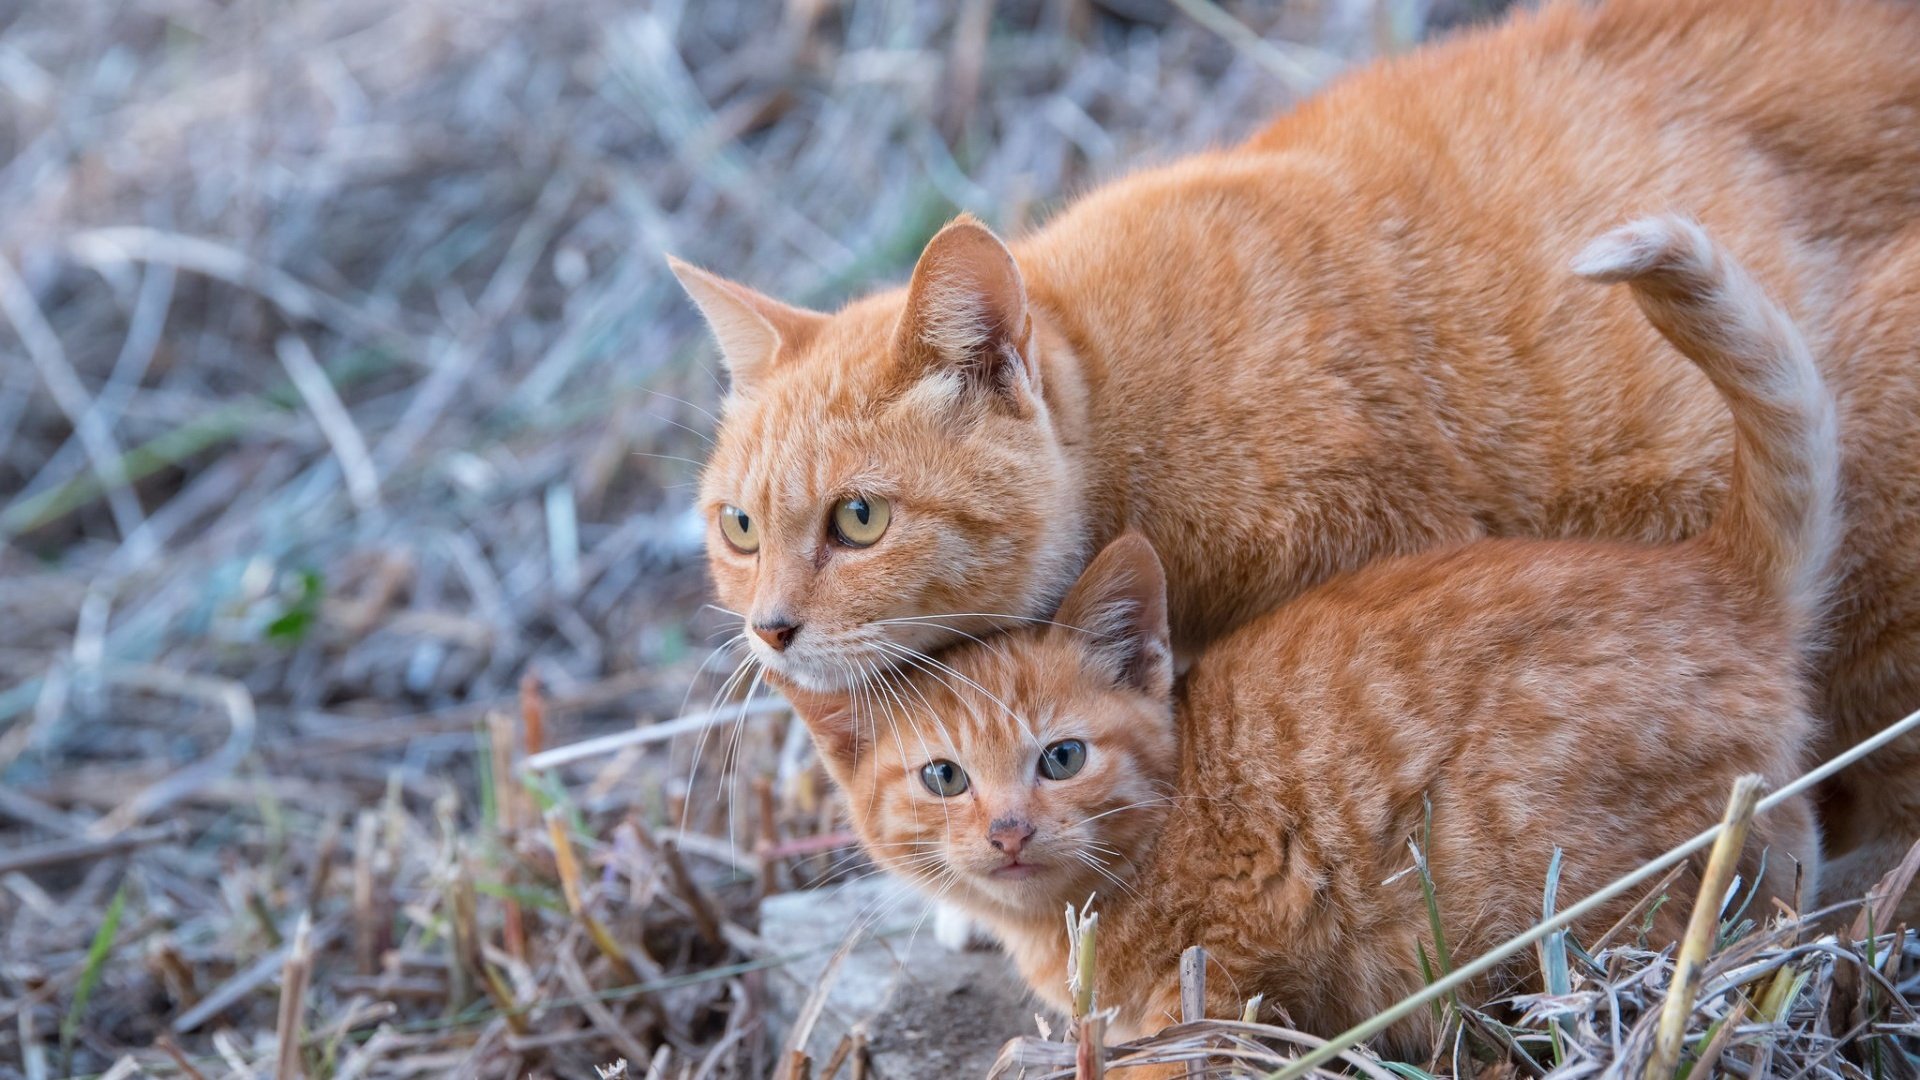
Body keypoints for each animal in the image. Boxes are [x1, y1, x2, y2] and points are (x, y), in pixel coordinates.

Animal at [783, 219, 1827, 1053]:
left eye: (1063, 758)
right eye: (944, 778)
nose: (1008, 831)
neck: (1177, 805)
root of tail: (1711, 570)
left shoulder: (1225, 984)